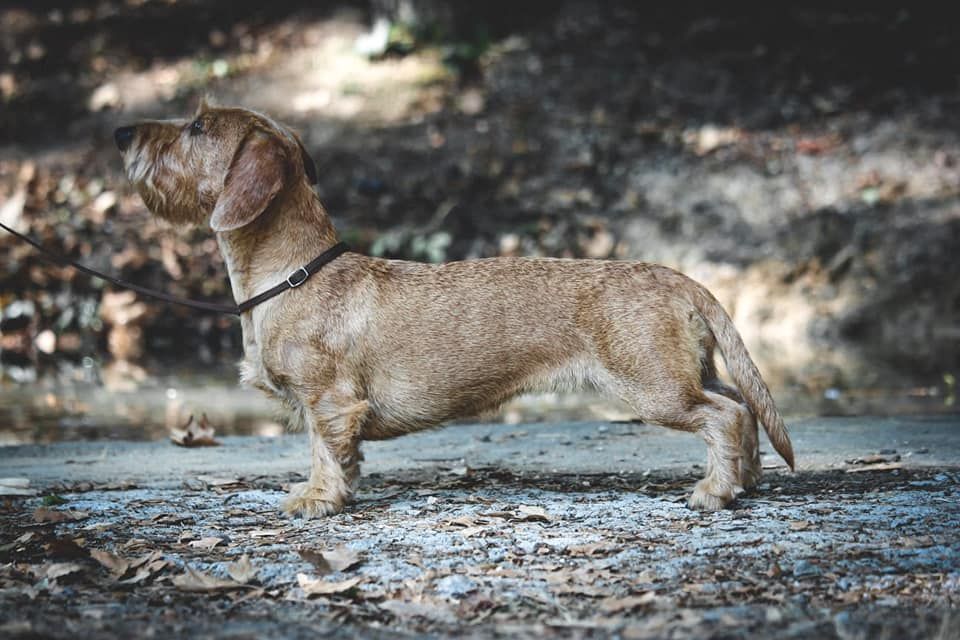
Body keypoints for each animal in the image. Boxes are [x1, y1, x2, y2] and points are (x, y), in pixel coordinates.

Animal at [114, 101, 796, 520]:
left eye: (198, 127)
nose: (121, 133)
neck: (295, 274)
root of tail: (679, 277)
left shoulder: (329, 401)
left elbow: (326, 450)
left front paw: (317, 499)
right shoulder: (325, 406)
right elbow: (335, 453)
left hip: (655, 387)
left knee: (725, 417)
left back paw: (714, 490)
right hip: (688, 373)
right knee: (741, 408)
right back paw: (746, 480)